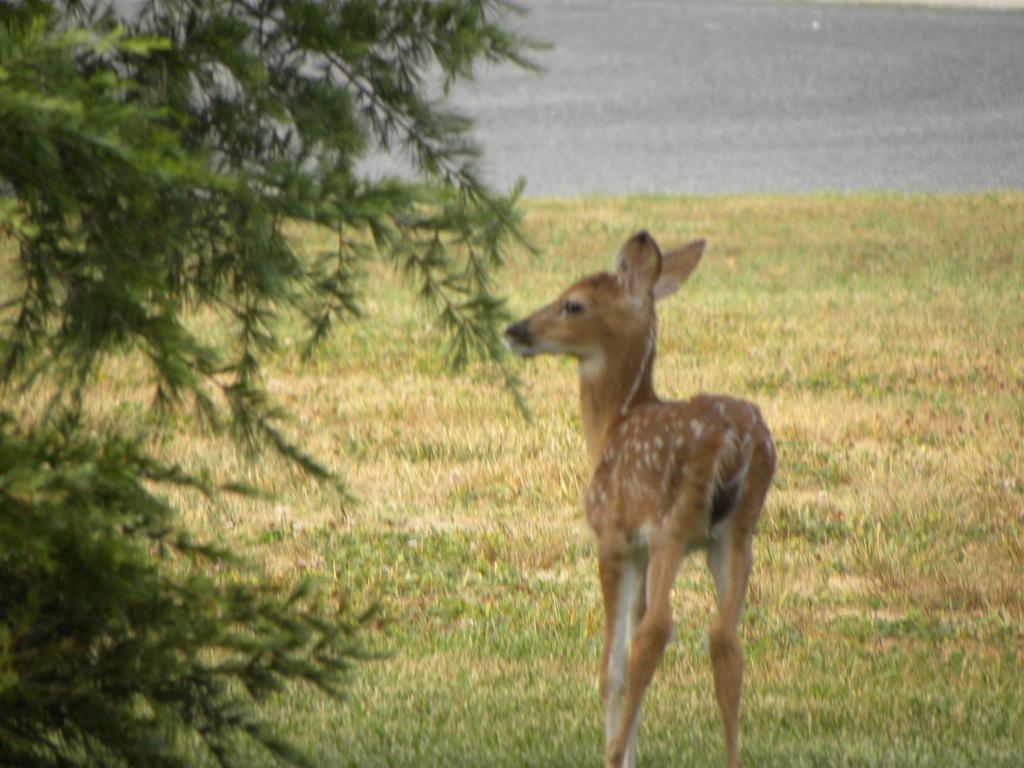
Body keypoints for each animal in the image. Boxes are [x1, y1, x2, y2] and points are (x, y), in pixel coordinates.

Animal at [504, 231, 776, 768]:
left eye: (573, 303)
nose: (515, 328)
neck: (613, 425)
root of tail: (737, 444)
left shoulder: (614, 535)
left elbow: (613, 665)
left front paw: (619, 752)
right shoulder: (643, 547)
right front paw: (628, 749)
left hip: (677, 519)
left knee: (657, 630)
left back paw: (610, 753)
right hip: (737, 533)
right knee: (725, 639)